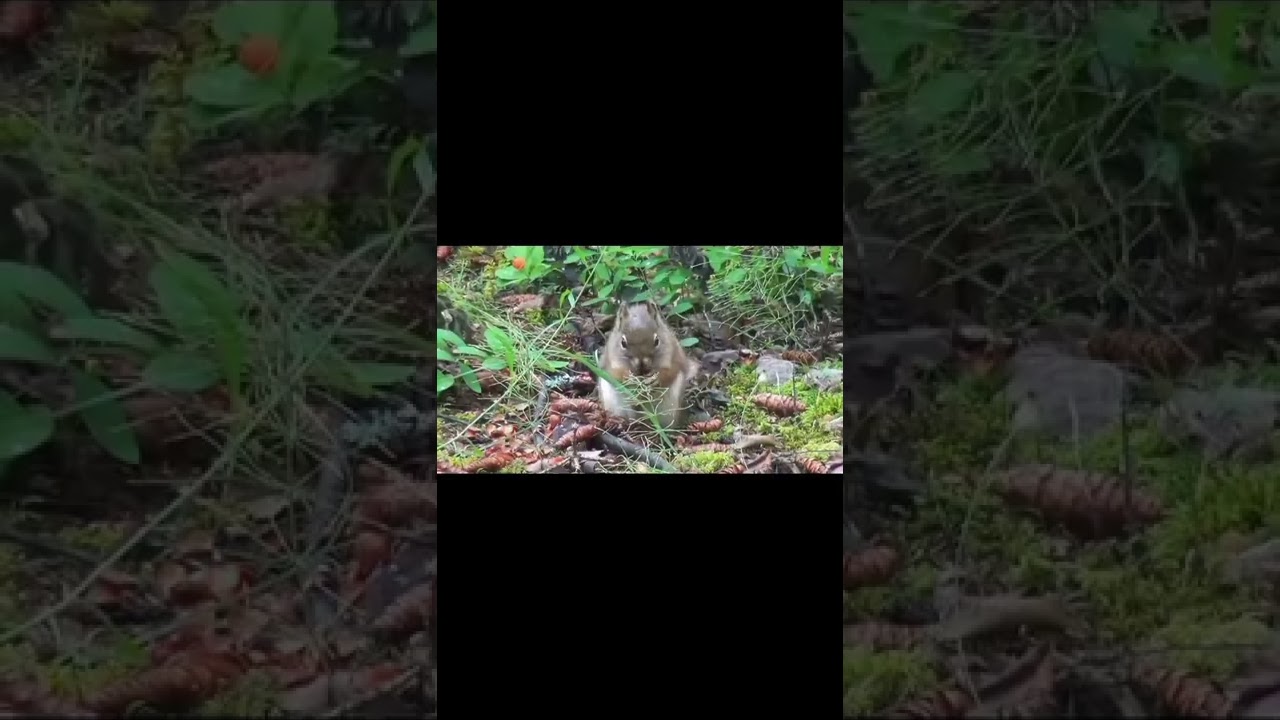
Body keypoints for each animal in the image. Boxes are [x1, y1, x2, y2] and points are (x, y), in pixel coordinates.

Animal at [598, 301, 699, 429]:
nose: (642, 363)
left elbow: (670, 371)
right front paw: (629, 378)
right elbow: (615, 374)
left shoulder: (674, 355)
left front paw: (656, 379)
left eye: (657, 340)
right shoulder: (610, 360)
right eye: (623, 342)